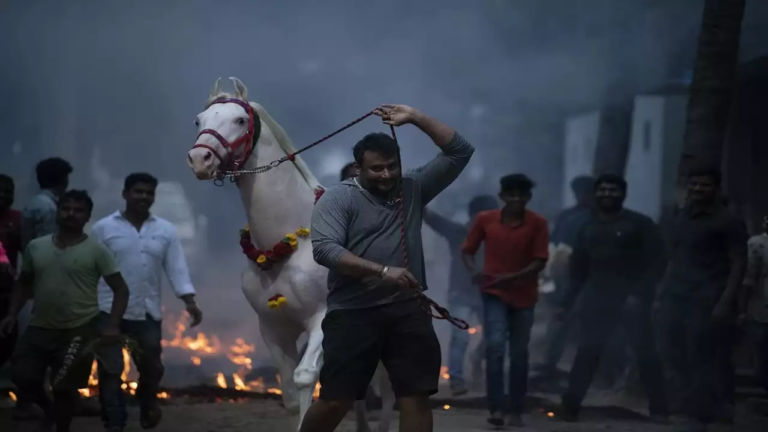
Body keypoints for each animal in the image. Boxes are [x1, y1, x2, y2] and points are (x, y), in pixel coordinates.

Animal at [184, 77, 390, 432]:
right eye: (199, 120)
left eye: (240, 120)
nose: (200, 159)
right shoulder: (272, 328)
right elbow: (291, 397)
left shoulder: (322, 319)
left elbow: (306, 378)